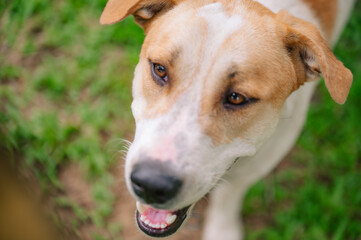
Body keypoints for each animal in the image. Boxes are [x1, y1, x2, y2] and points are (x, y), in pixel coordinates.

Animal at [100, 0, 352, 239]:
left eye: (237, 97)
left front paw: (222, 230)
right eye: (160, 69)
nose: (151, 184)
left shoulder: (273, 148)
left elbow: (231, 191)